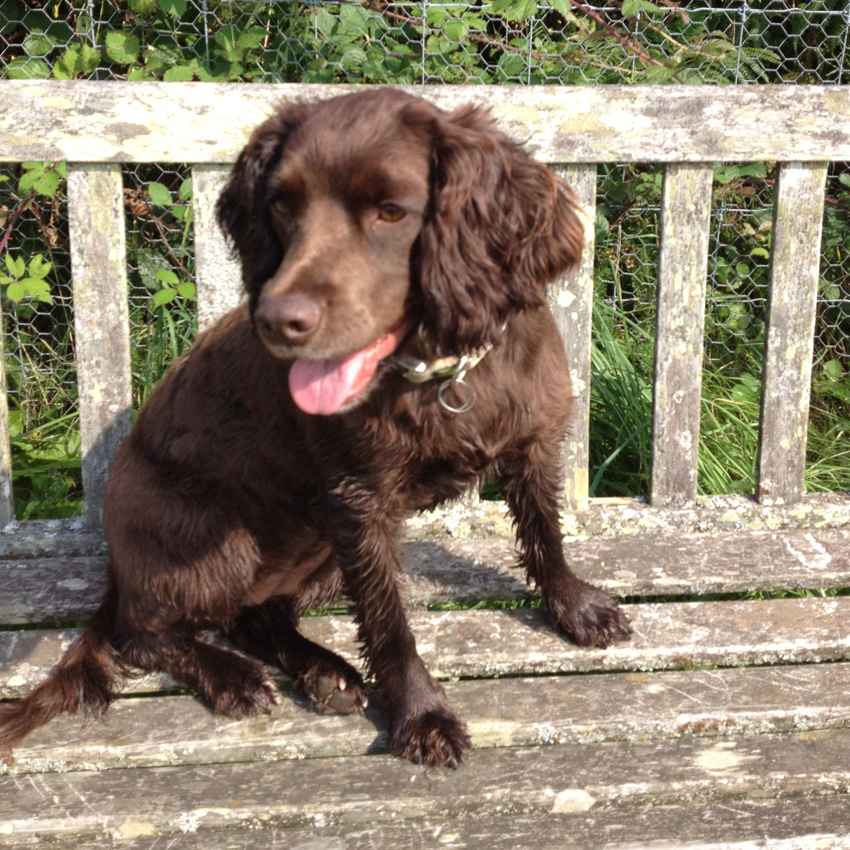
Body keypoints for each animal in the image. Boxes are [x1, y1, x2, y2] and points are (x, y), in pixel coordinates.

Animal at [0, 89, 628, 764]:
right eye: (282, 204)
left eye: (391, 210)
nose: (278, 319)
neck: (439, 371)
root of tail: (118, 567)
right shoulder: (360, 506)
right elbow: (388, 622)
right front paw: (421, 715)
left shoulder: (532, 447)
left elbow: (545, 534)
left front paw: (574, 606)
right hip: (220, 538)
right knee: (139, 634)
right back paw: (232, 676)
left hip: (318, 546)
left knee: (255, 617)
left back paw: (322, 671)